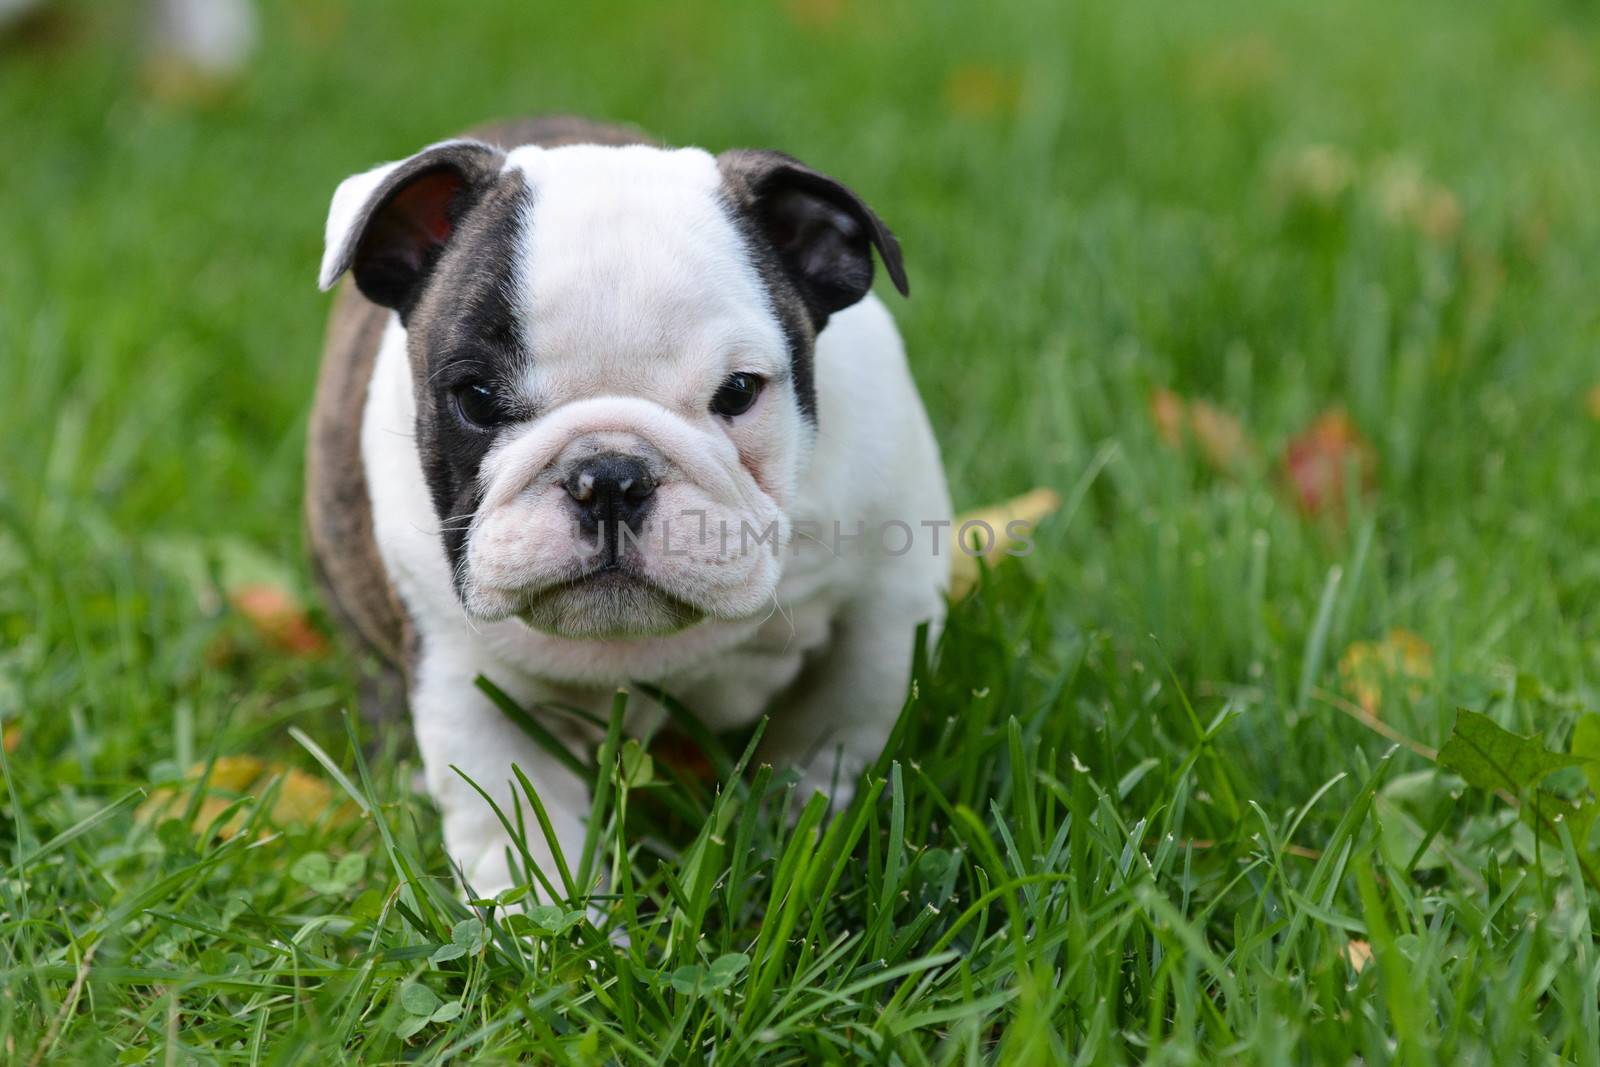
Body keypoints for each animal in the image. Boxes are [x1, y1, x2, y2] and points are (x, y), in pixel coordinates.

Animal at [308, 115, 947, 895]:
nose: (609, 477)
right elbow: (512, 821)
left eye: (739, 390)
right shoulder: (466, 680)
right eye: (477, 398)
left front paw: (806, 829)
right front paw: (534, 916)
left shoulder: (885, 608)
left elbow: (840, 723)